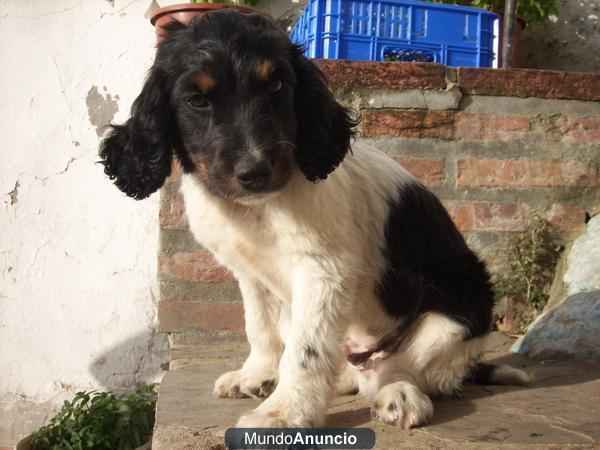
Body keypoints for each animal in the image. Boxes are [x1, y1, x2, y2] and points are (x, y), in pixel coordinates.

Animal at [101, 9, 532, 426]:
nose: (254, 171)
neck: (258, 208)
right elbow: (260, 327)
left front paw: (283, 413)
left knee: (401, 369)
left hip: (458, 310)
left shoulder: (324, 271)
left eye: (276, 86)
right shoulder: (250, 273)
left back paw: (398, 394)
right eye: (197, 99)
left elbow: (306, 351)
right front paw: (256, 375)